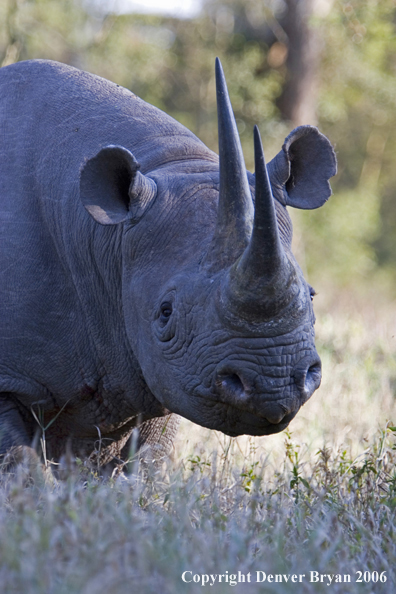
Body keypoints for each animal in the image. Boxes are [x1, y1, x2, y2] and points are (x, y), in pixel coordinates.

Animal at [0, 57, 336, 464]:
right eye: (165, 312)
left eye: (313, 296)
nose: (272, 385)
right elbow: (19, 461)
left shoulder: (159, 370)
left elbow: (147, 461)